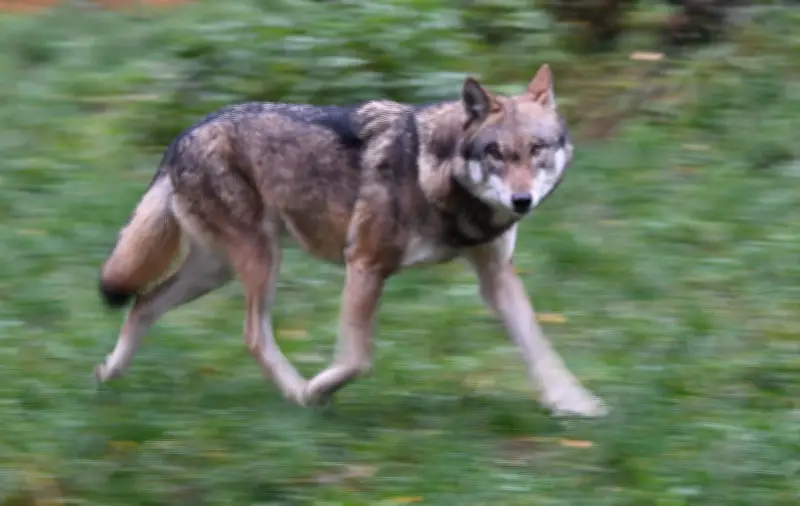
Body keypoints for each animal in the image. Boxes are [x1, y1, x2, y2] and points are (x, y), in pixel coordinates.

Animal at [96, 64, 607, 417]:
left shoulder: (497, 277)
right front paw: (317, 389)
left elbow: (539, 346)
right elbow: (358, 358)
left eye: (536, 150)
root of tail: (181, 137)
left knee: (144, 303)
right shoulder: (364, 264)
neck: (438, 177)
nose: (521, 200)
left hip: (215, 270)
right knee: (252, 335)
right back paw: (297, 393)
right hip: (260, 261)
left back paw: (109, 374)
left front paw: (574, 404)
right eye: (497, 154)